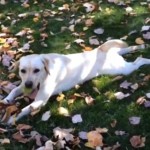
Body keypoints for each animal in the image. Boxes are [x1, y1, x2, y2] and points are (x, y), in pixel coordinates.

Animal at [2, 39, 150, 124]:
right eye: (23, 71)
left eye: (37, 70)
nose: (29, 84)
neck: (44, 76)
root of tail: (100, 50)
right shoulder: (22, 85)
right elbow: (14, 89)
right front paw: (6, 100)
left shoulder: (40, 100)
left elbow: (24, 109)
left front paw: (9, 119)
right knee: (128, 49)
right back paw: (140, 46)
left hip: (121, 69)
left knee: (139, 60)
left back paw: (146, 60)